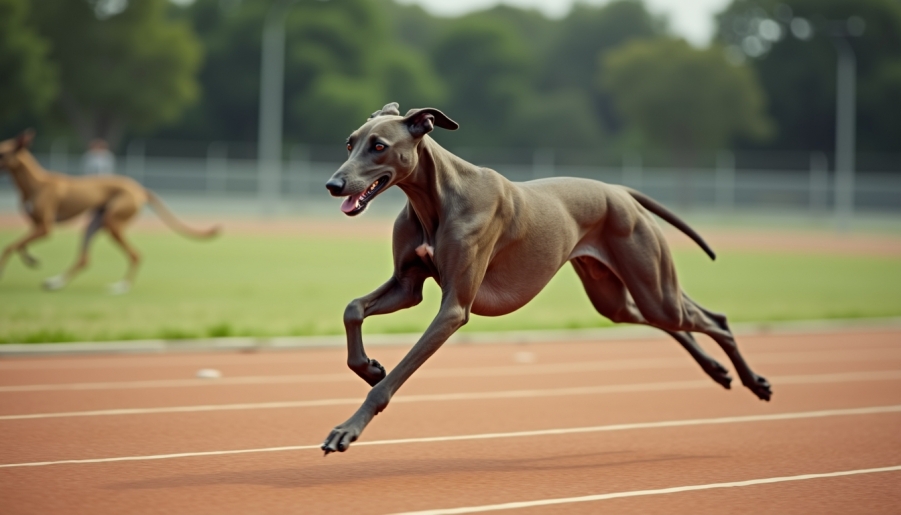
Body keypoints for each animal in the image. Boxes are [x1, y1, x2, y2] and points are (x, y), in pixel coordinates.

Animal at [0, 131, 218, 292]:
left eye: (2, 153)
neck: (35, 183)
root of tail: (138, 189)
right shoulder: (37, 225)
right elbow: (19, 245)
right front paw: (31, 259)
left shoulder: (45, 228)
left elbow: (10, 246)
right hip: (95, 223)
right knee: (84, 259)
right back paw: (56, 282)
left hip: (112, 222)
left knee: (135, 255)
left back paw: (121, 287)